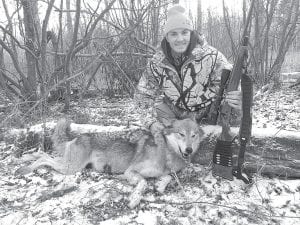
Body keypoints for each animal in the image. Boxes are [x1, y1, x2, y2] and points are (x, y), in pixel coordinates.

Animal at [15, 118, 204, 208]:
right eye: (181, 134)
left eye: (194, 135)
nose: (188, 150)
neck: (166, 152)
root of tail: (78, 137)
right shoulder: (130, 172)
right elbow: (143, 183)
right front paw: (135, 199)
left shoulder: (165, 172)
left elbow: (168, 178)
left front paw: (160, 186)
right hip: (70, 168)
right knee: (44, 158)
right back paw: (24, 169)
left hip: (68, 164)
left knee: (43, 154)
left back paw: (24, 160)